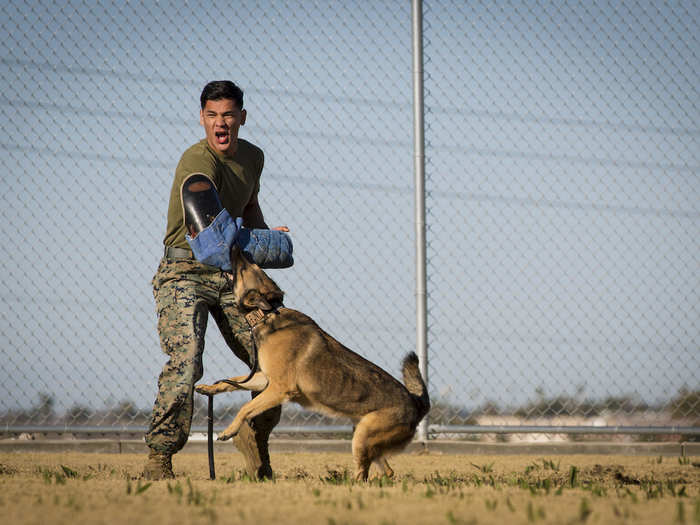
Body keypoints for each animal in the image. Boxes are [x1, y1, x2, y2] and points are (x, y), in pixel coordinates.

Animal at [194, 248, 430, 482]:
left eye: (245, 268)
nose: (236, 247)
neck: (267, 315)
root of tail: (416, 404)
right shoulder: (265, 380)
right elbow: (231, 382)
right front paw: (209, 388)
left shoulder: (278, 389)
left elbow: (245, 408)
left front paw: (229, 430)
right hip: (363, 433)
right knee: (386, 470)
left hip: (363, 436)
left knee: (363, 473)